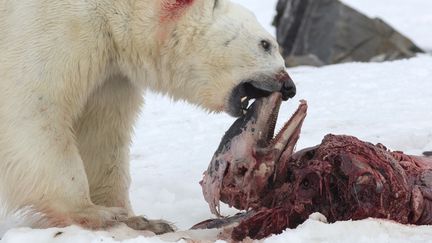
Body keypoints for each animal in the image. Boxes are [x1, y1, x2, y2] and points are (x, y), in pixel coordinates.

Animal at [0, 0, 296, 234]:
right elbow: (35, 106)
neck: (115, 7)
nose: (290, 87)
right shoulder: (52, 27)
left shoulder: (111, 73)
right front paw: (93, 212)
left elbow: (101, 132)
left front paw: (141, 220)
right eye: (266, 44)